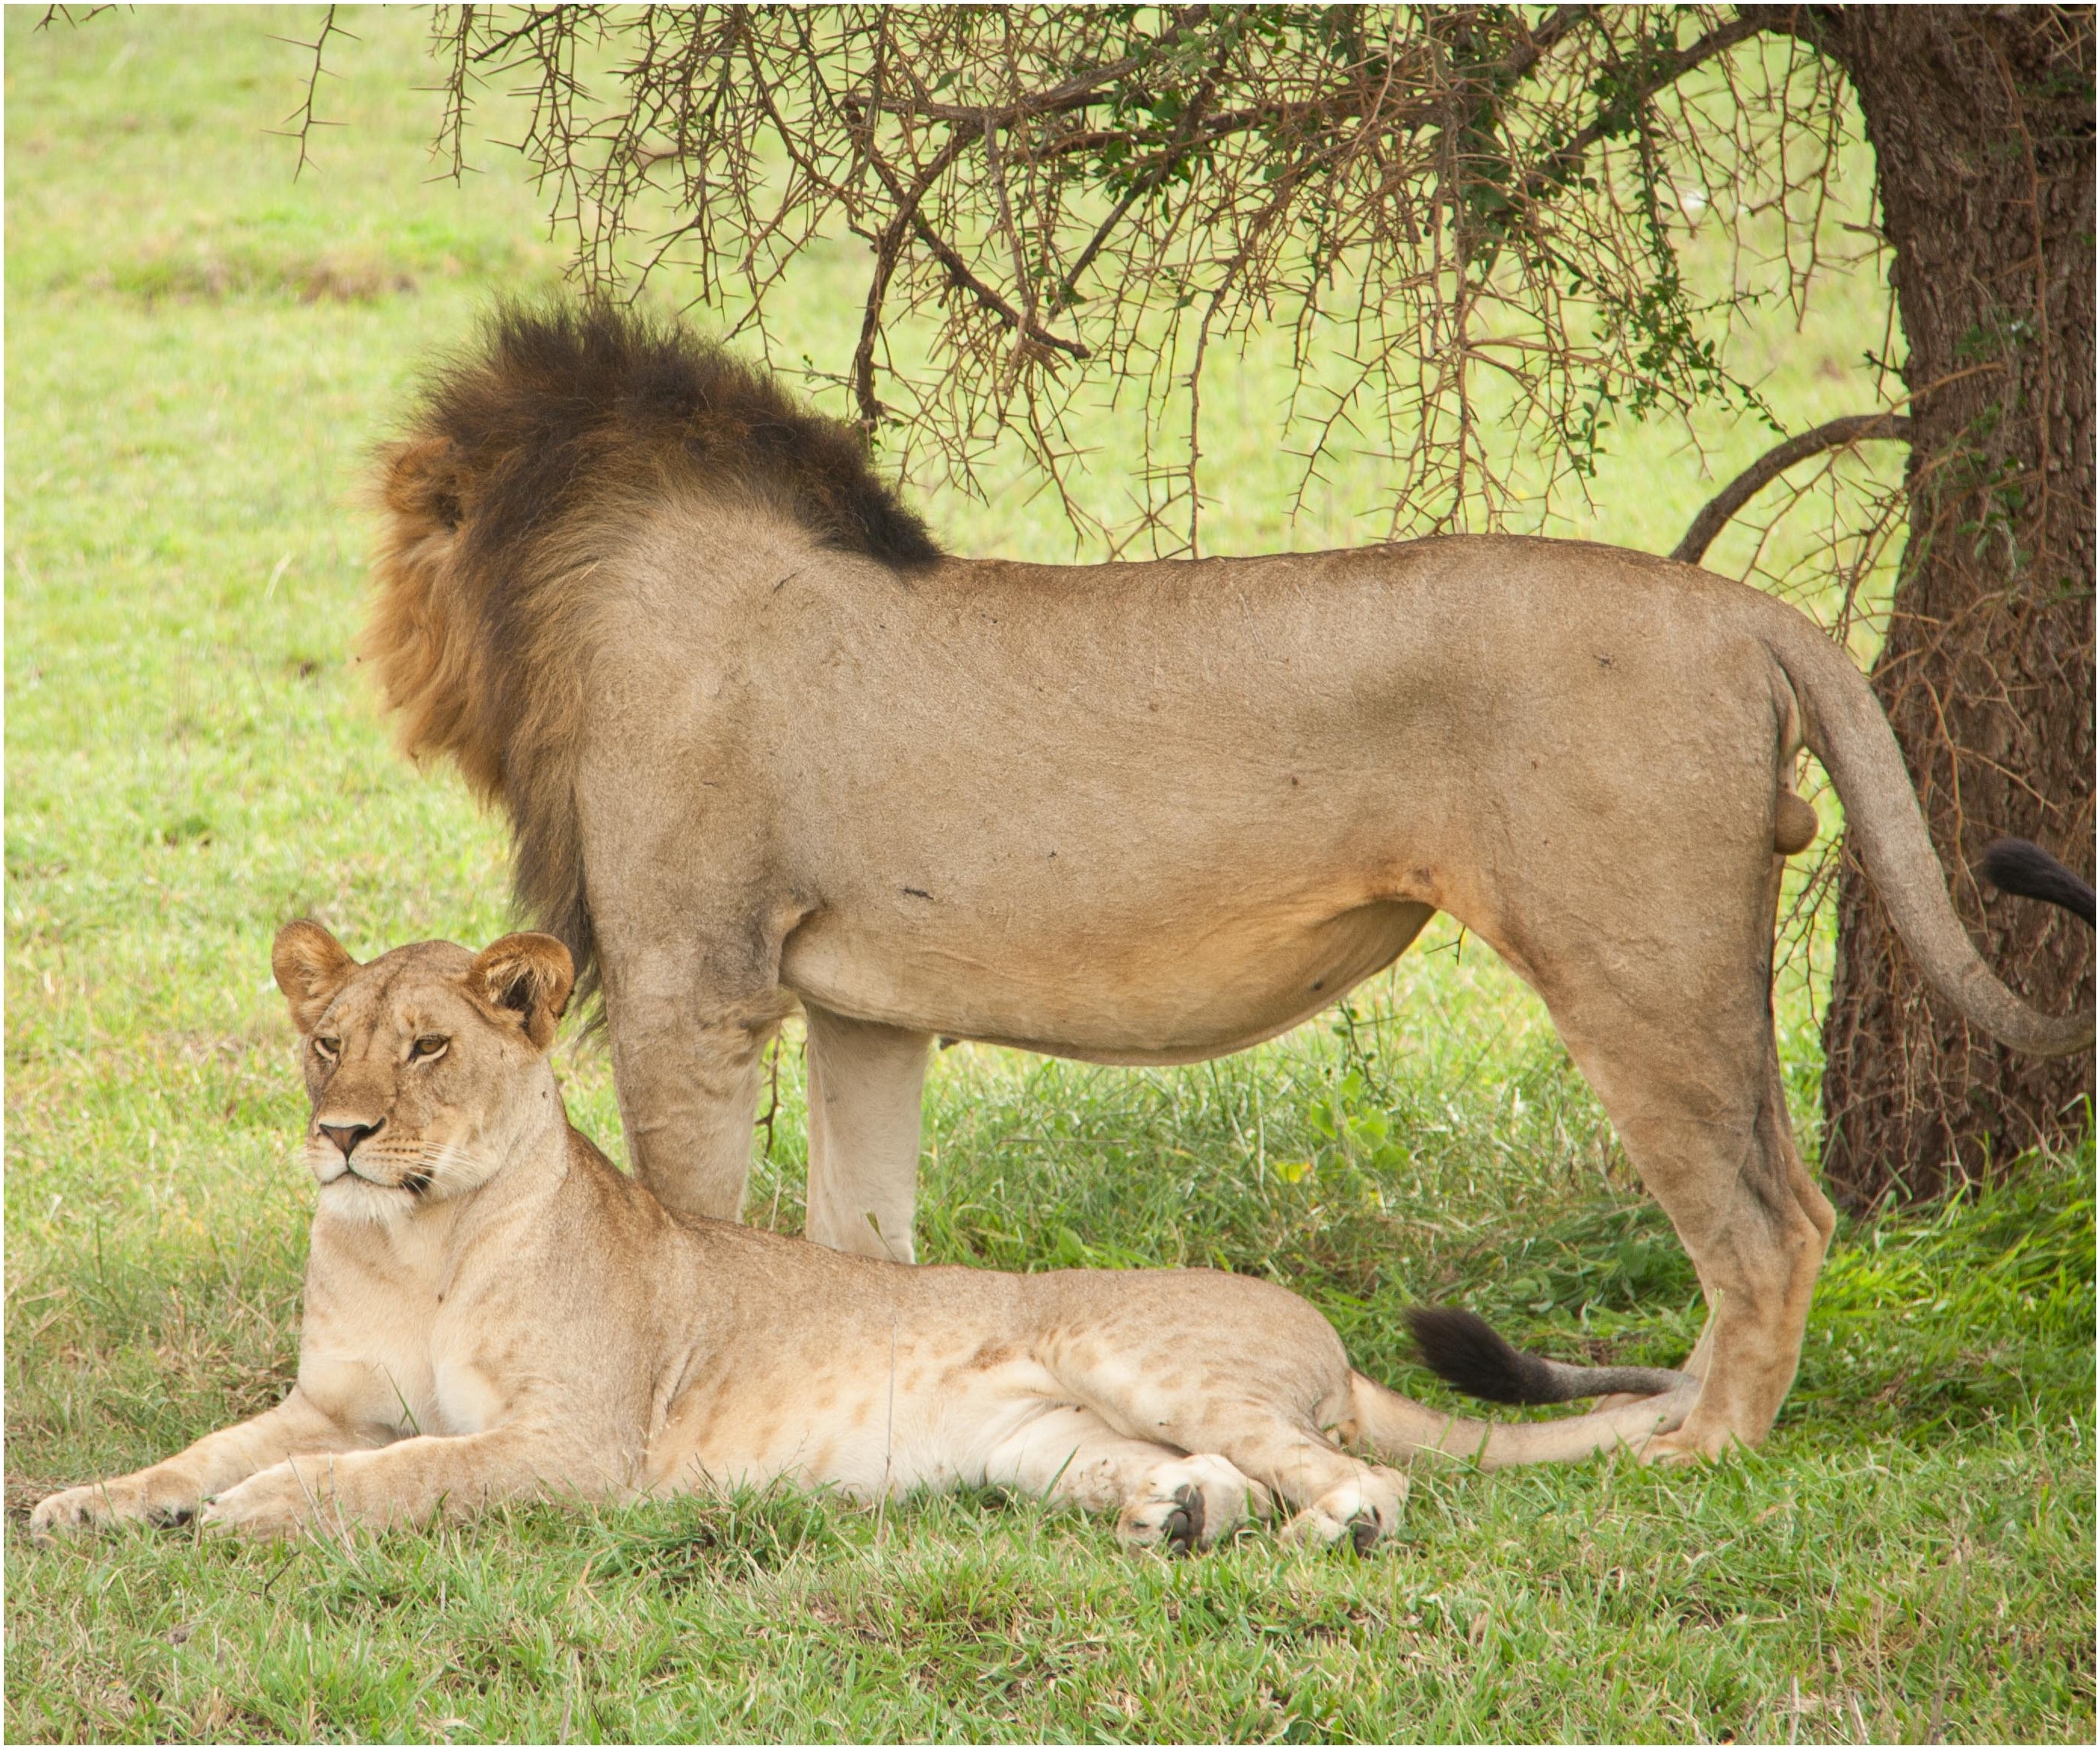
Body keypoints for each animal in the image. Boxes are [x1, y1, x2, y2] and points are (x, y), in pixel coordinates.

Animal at [31, 924, 1697, 1548]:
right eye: (326, 1042)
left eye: (428, 1046)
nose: (342, 1133)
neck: (416, 1239)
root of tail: (1325, 1336)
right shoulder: (328, 1392)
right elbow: (200, 1447)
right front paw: (83, 1501)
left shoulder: (572, 1446)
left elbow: (394, 1471)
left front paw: (257, 1512)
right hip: (1041, 1441)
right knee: (1203, 1475)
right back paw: (1176, 1519)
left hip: (1136, 1354)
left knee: (1364, 1477)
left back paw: (1319, 1532)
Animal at [362, 302, 2092, 1466]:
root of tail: (1743, 611)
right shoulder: (863, 1013)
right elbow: (861, 1245)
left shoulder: (694, 980)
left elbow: (690, 1221)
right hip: (1687, 964)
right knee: (1783, 1204)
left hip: (1636, 966)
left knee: (1768, 1225)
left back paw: (1701, 1450)